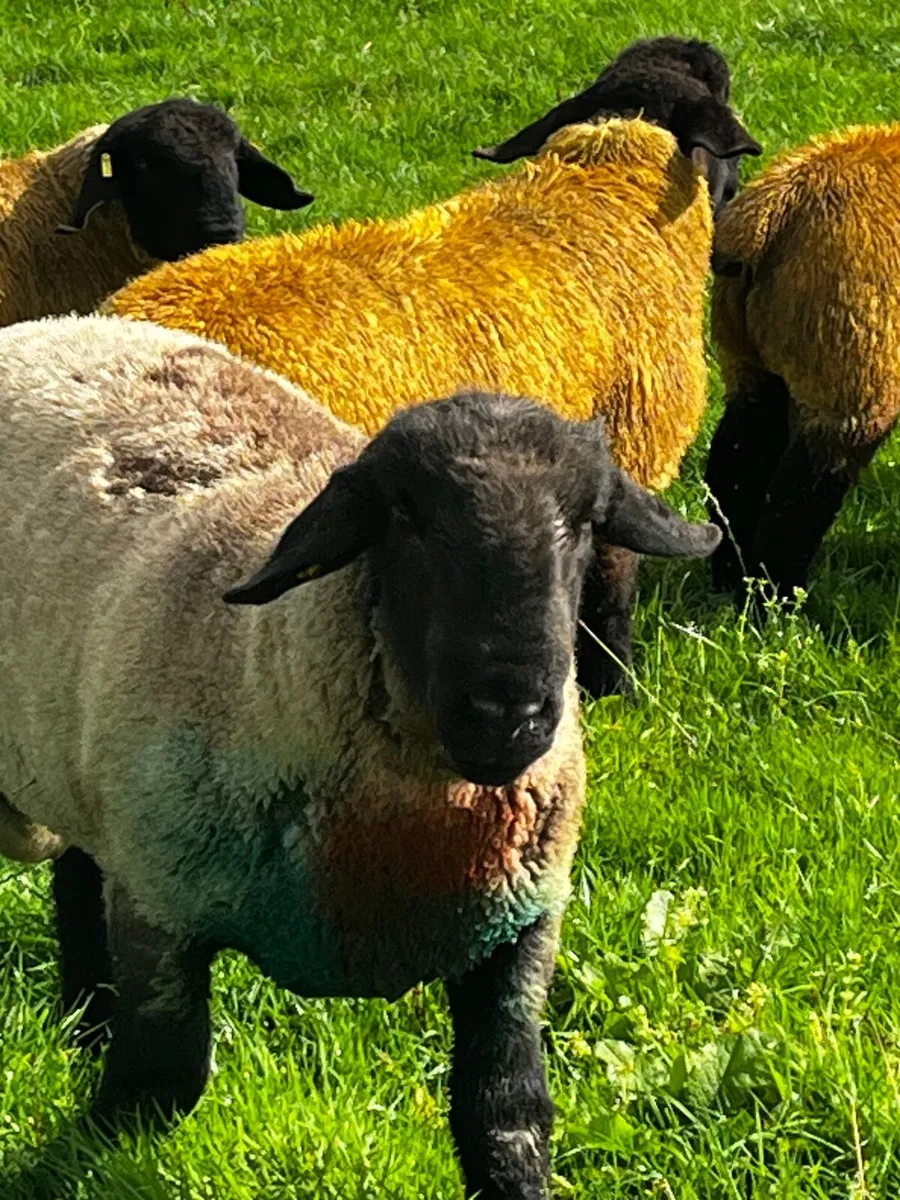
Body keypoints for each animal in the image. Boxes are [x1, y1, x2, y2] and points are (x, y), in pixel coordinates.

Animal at [0, 315, 721, 1198]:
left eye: (587, 521)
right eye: (406, 516)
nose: (509, 710)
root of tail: (56, 324)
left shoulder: (518, 933)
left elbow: (506, 1111)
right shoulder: (161, 900)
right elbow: (158, 1085)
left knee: (76, 867)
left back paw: (87, 1023)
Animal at [705, 122, 900, 602]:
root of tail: (774, 213)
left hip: (752, 362)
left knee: (736, 463)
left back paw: (729, 586)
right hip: (849, 376)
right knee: (796, 500)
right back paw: (778, 604)